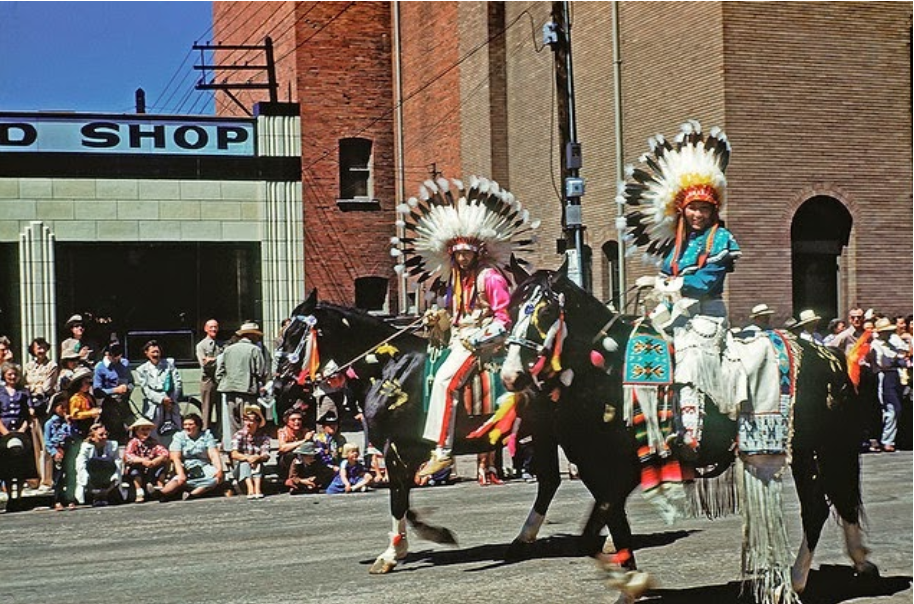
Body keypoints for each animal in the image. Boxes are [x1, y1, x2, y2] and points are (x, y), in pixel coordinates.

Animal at [498, 270, 876, 604]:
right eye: (512, 311)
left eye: (546, 311)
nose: (512, 375)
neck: (605, 371)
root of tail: (828, 354)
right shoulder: (596, 471)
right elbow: (609, 531)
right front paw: (629, 585)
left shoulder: (625, 471)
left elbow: (593, 536)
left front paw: (632, 582)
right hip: (813, 451)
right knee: (835, 503)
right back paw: (859, 563)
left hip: (817, 448)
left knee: (818, 507)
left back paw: (795, 581)